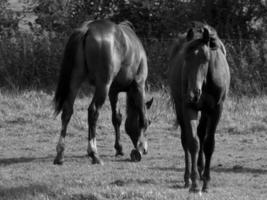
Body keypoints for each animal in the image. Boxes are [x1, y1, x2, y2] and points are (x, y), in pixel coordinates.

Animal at [52, 19, 154, 165]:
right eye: (151, 122)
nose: (145, 150)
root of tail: (87, 29)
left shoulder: (113, 91)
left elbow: (116, 118)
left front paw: (119, 148)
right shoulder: (138, 85)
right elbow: (142, 117)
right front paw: (138, 149)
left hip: (75, 81)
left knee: (67, 111)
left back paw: (60, 154)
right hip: (103, 86)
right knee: (93, 111)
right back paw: (94, 154)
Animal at [170, 24, 230, 193]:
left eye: (205, 58)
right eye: (185, 58)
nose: (193, 93)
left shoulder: (216, 110)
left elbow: (208, 144)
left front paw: (206, 181)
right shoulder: (188, 107)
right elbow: (193, 143)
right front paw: (195, 183)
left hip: (205, 112)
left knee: (202, 133)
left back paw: (201, 170)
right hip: (180, 108)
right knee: (185, 140)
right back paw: (188, 178)